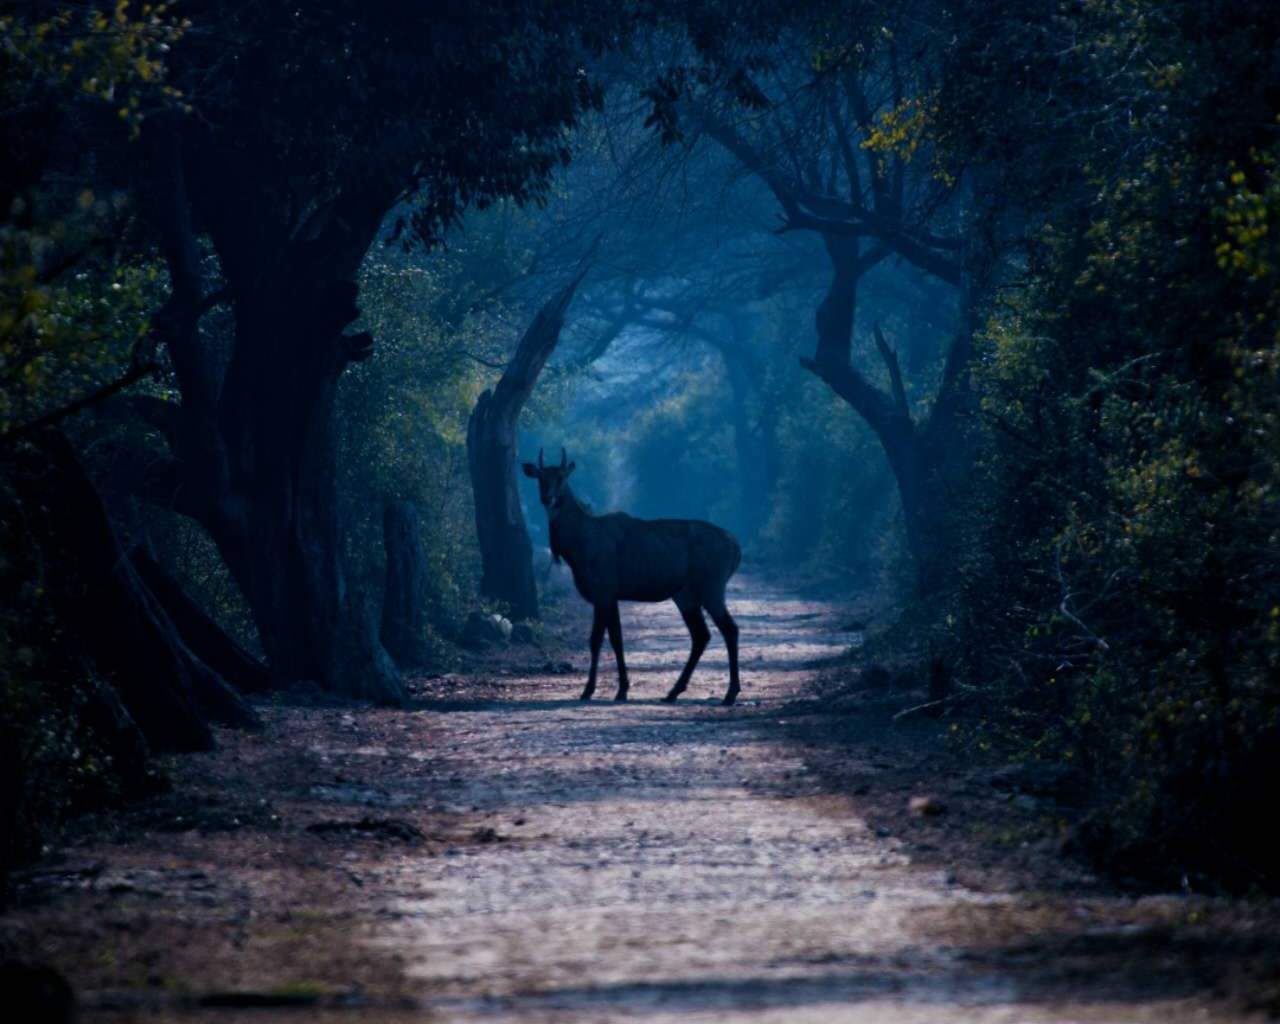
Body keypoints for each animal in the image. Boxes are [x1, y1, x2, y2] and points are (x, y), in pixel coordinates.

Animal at [522, 448, 743, 705]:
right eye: (540, 477)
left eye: (561, 478)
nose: (547, 498)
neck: (578, 545)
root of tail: (736, 547)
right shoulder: (610, 596)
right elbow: (615, 639)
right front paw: (621, 689)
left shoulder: (603, 592)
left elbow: (598, 640)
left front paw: (591, 690)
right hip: (685, 594)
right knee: (701, 635)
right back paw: (673, 692)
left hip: (711, 587)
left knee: (729, 629)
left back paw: (730, 693)